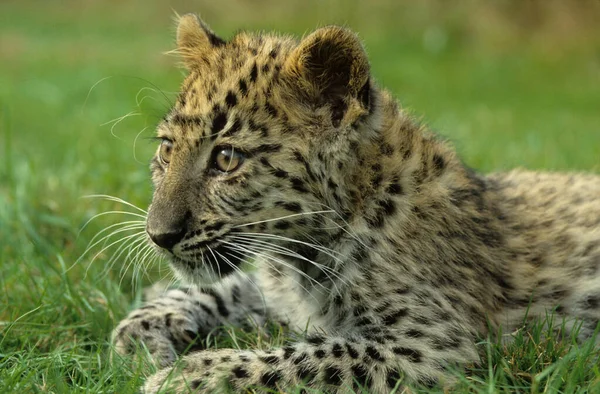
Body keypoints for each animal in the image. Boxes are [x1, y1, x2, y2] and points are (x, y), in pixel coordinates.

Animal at [112, 13, 600, 392]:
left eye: (226, 159)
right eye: (167, 149)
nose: (158, 235)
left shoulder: (434, 347)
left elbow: (304, 359)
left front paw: (183, 377)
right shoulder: (282, 287)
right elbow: (225, 287)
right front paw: (140, 331)